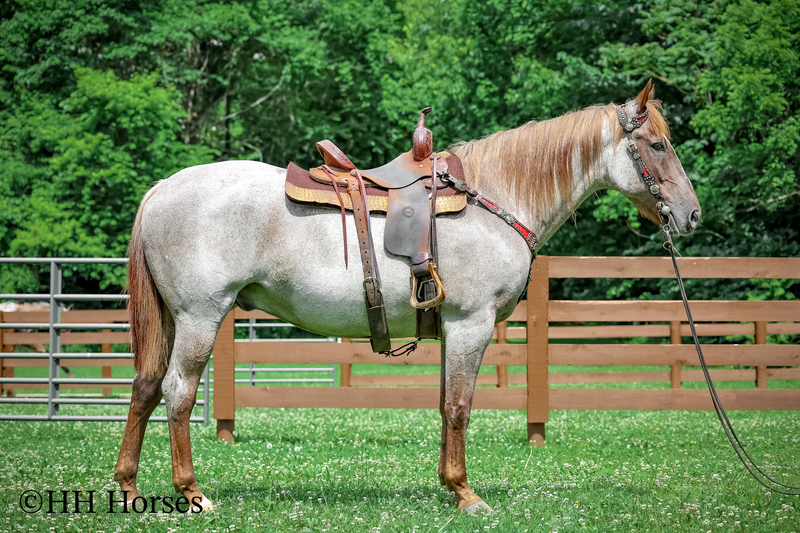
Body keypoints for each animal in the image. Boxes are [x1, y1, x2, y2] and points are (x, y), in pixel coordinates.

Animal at [114, 81, 701, 514]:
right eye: (657, 145)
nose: (691, 214)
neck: (496, 198)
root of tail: (163, 188)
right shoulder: (470, 323)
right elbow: (460, 406)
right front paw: (466, 494)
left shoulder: (451, 329)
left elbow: (445, 404)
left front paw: (449, 485)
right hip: (200, 316)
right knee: (179, 392)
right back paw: (191, 492)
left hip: (173, 320)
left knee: (145, 387)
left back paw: (129, 486)